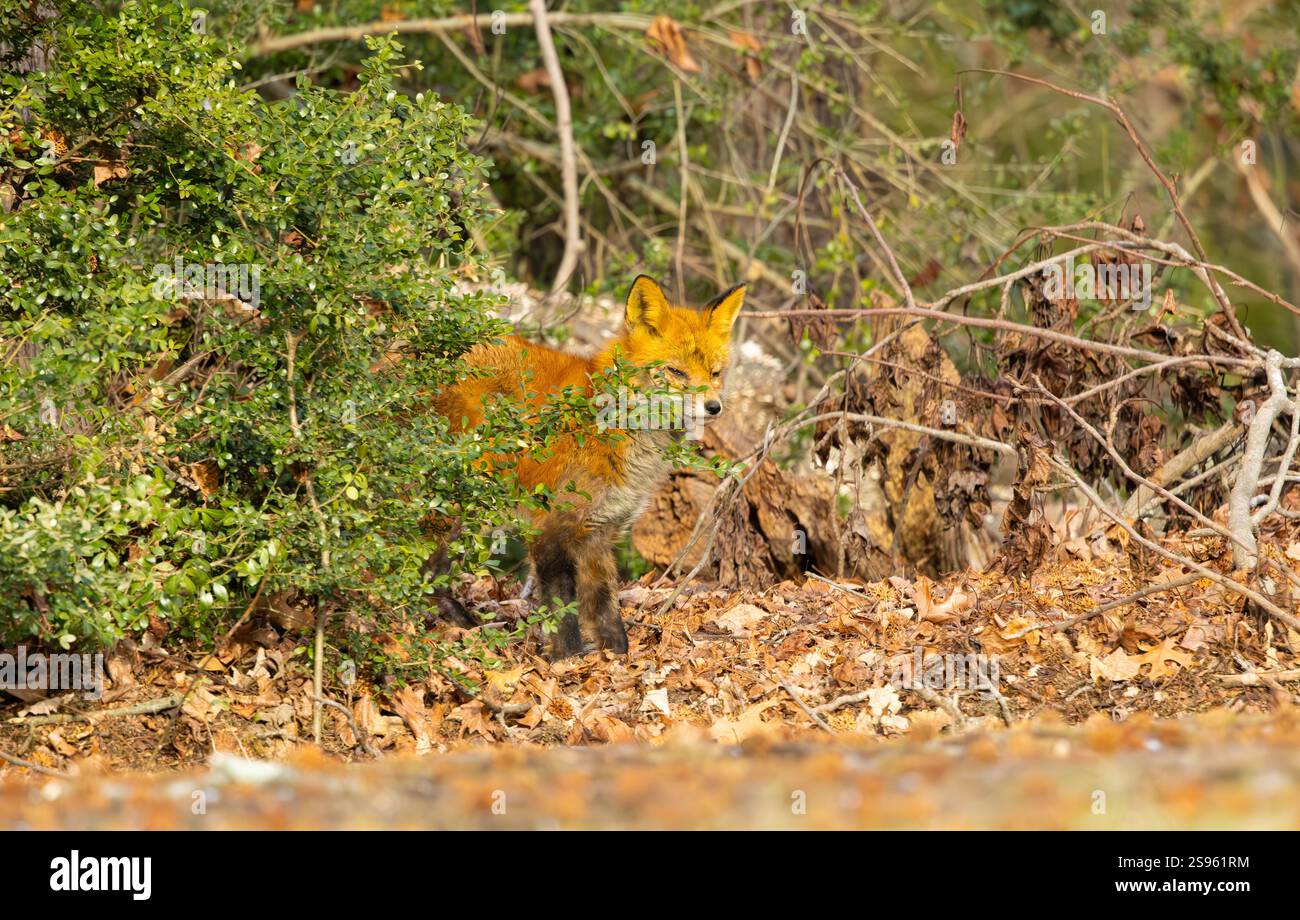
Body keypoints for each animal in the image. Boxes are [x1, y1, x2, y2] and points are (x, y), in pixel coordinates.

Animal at [433, 275, 746, 658]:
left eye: (715, 373)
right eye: (675, 371)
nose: (714, 407)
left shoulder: (601, 529)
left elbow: (604, 605)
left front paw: (616, 656)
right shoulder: (551, 527)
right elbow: (562, 608)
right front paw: (567, 659)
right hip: (457, 502)